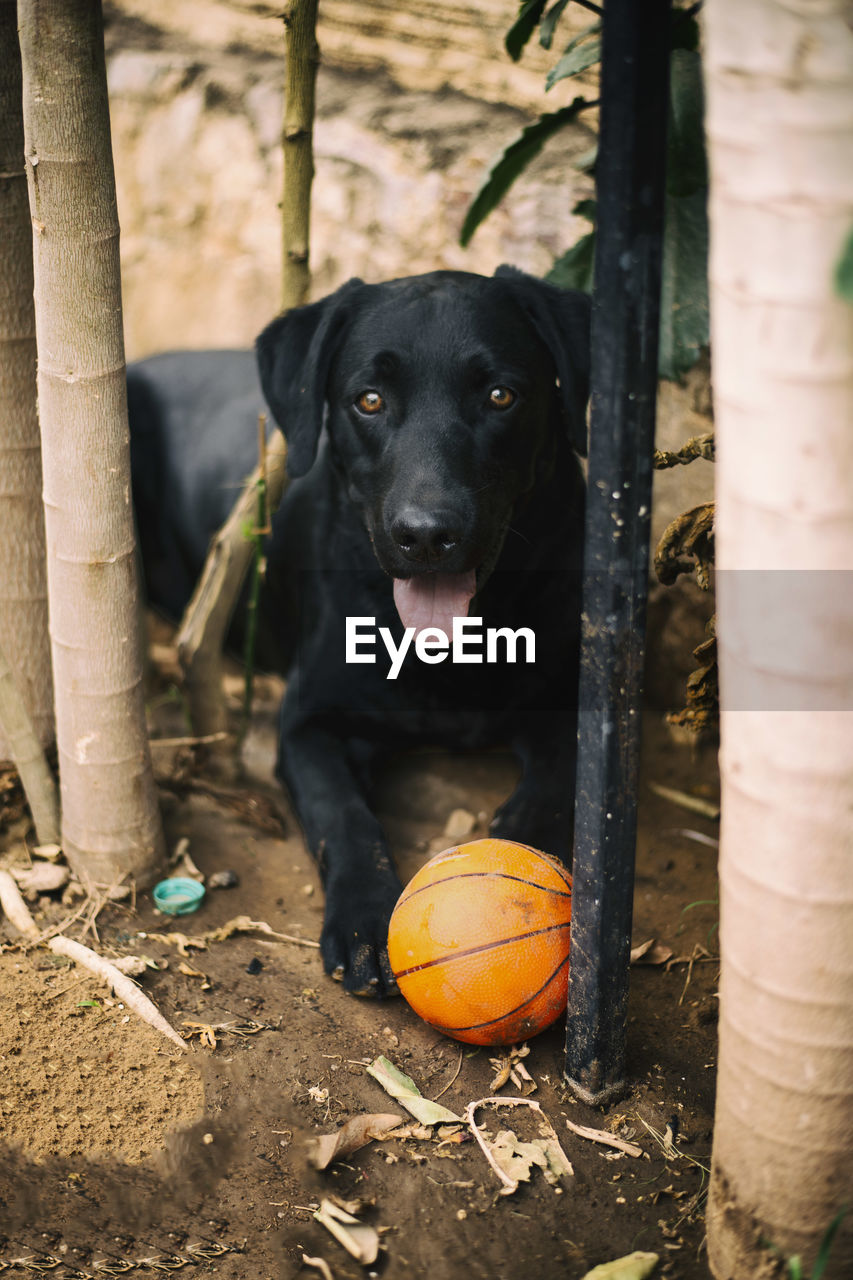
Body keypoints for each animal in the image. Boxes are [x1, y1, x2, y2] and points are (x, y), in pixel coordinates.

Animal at [129, 264, 589, 993]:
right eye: (368, 401)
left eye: (500, 395)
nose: (426, 535)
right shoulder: (306, 723)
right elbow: (344, 817)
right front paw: (364, 919)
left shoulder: (572, 706)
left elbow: (550, 791)